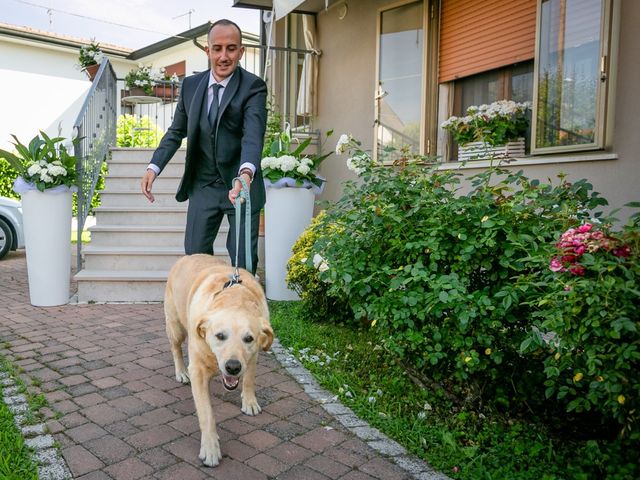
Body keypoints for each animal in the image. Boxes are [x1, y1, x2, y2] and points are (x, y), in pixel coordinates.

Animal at [164, 253, 272, 466]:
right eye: (220, 336)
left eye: (249, 339)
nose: (233, 367)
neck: (234, 297)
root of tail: (187, 256)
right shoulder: (197, 371)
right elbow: (206, 414)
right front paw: (210, 448)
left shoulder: (253, 355)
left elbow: (249, 379)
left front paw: (249, 402)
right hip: (175, 326)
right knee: (176, 348)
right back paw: (181, 372)